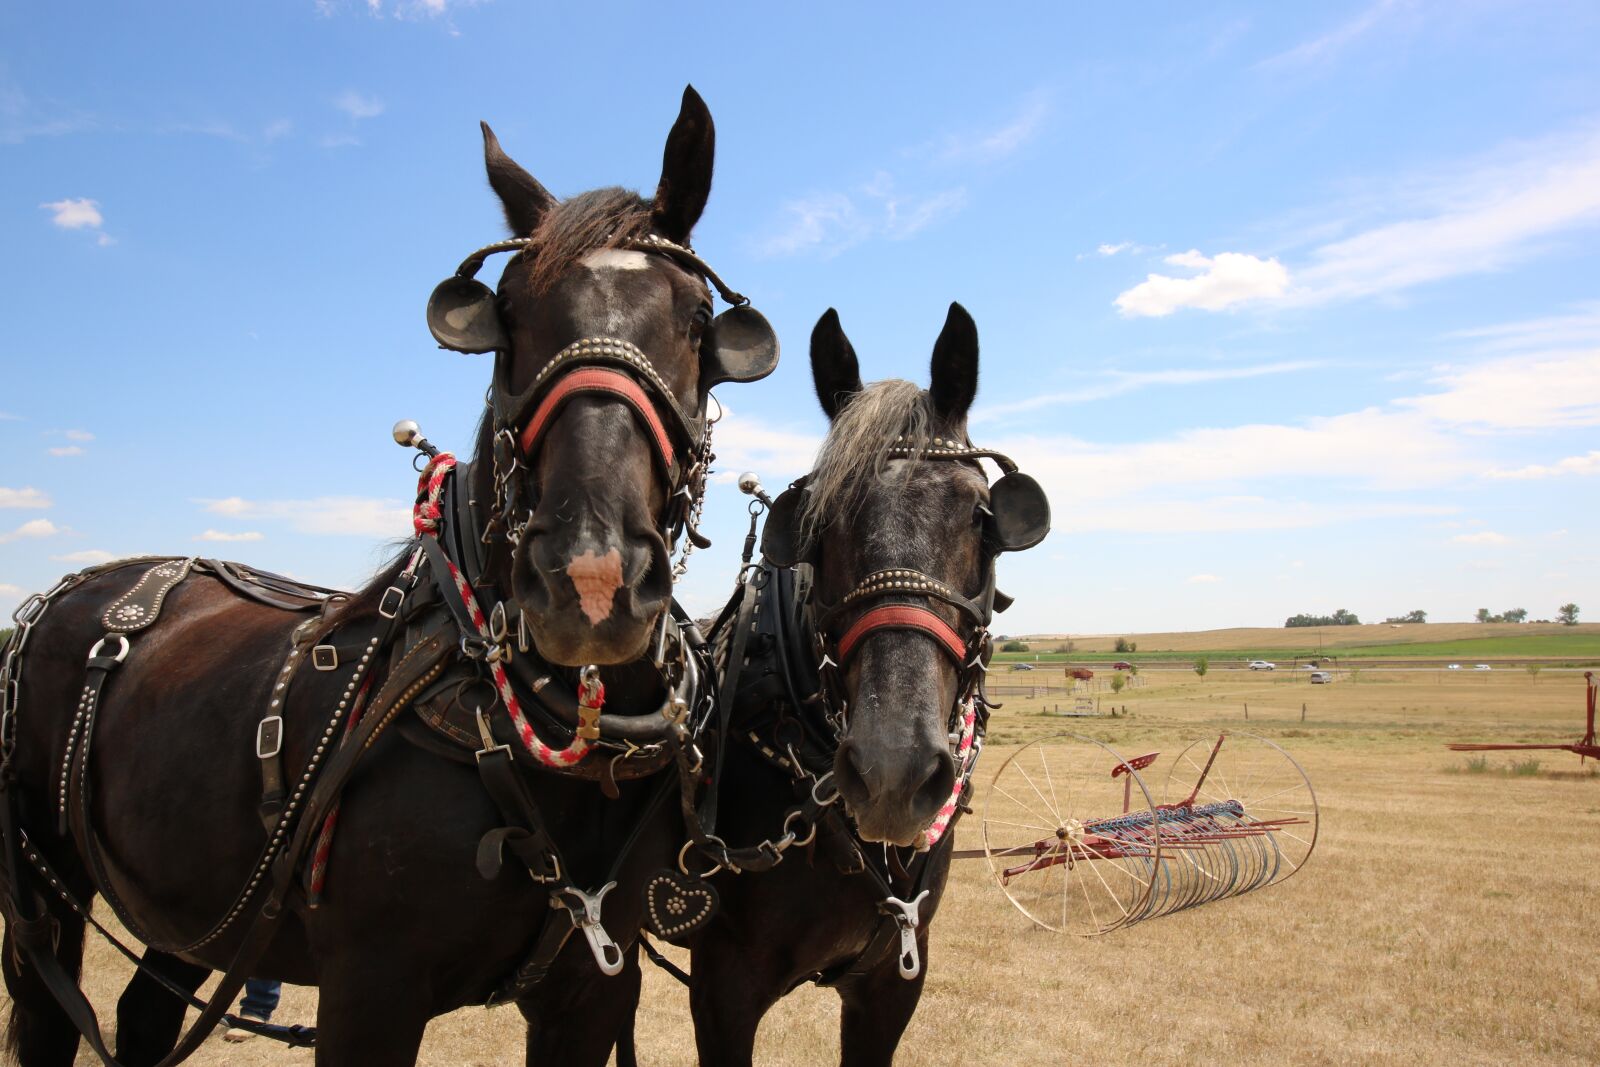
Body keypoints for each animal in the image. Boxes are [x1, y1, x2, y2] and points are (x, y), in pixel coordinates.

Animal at [0, 85, 777, 1067]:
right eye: (508, 318)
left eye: (695, 322)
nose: (590, 583)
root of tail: (67, 591)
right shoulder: (370, 990)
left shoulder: (593, 988)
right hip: (43, 890)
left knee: (145, 1010)